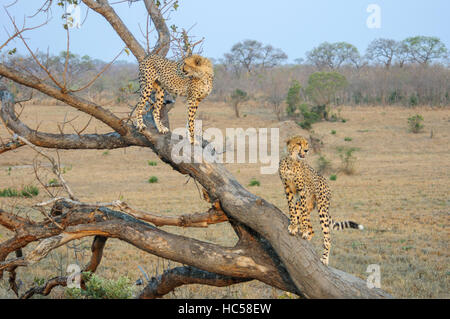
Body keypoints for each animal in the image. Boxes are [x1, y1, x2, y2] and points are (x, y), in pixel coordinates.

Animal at [276, 136, 364, 266]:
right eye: (299, 143)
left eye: (306, 143)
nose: (307, 150)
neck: (292, 161)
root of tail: (326, 183)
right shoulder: (288, 189)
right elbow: (292, 209)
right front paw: (293, 225)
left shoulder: (302, 190)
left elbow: (300, 213)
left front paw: (301, 228)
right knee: (311, 227)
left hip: (322, 209)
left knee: (327, 237)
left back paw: (324, 258)